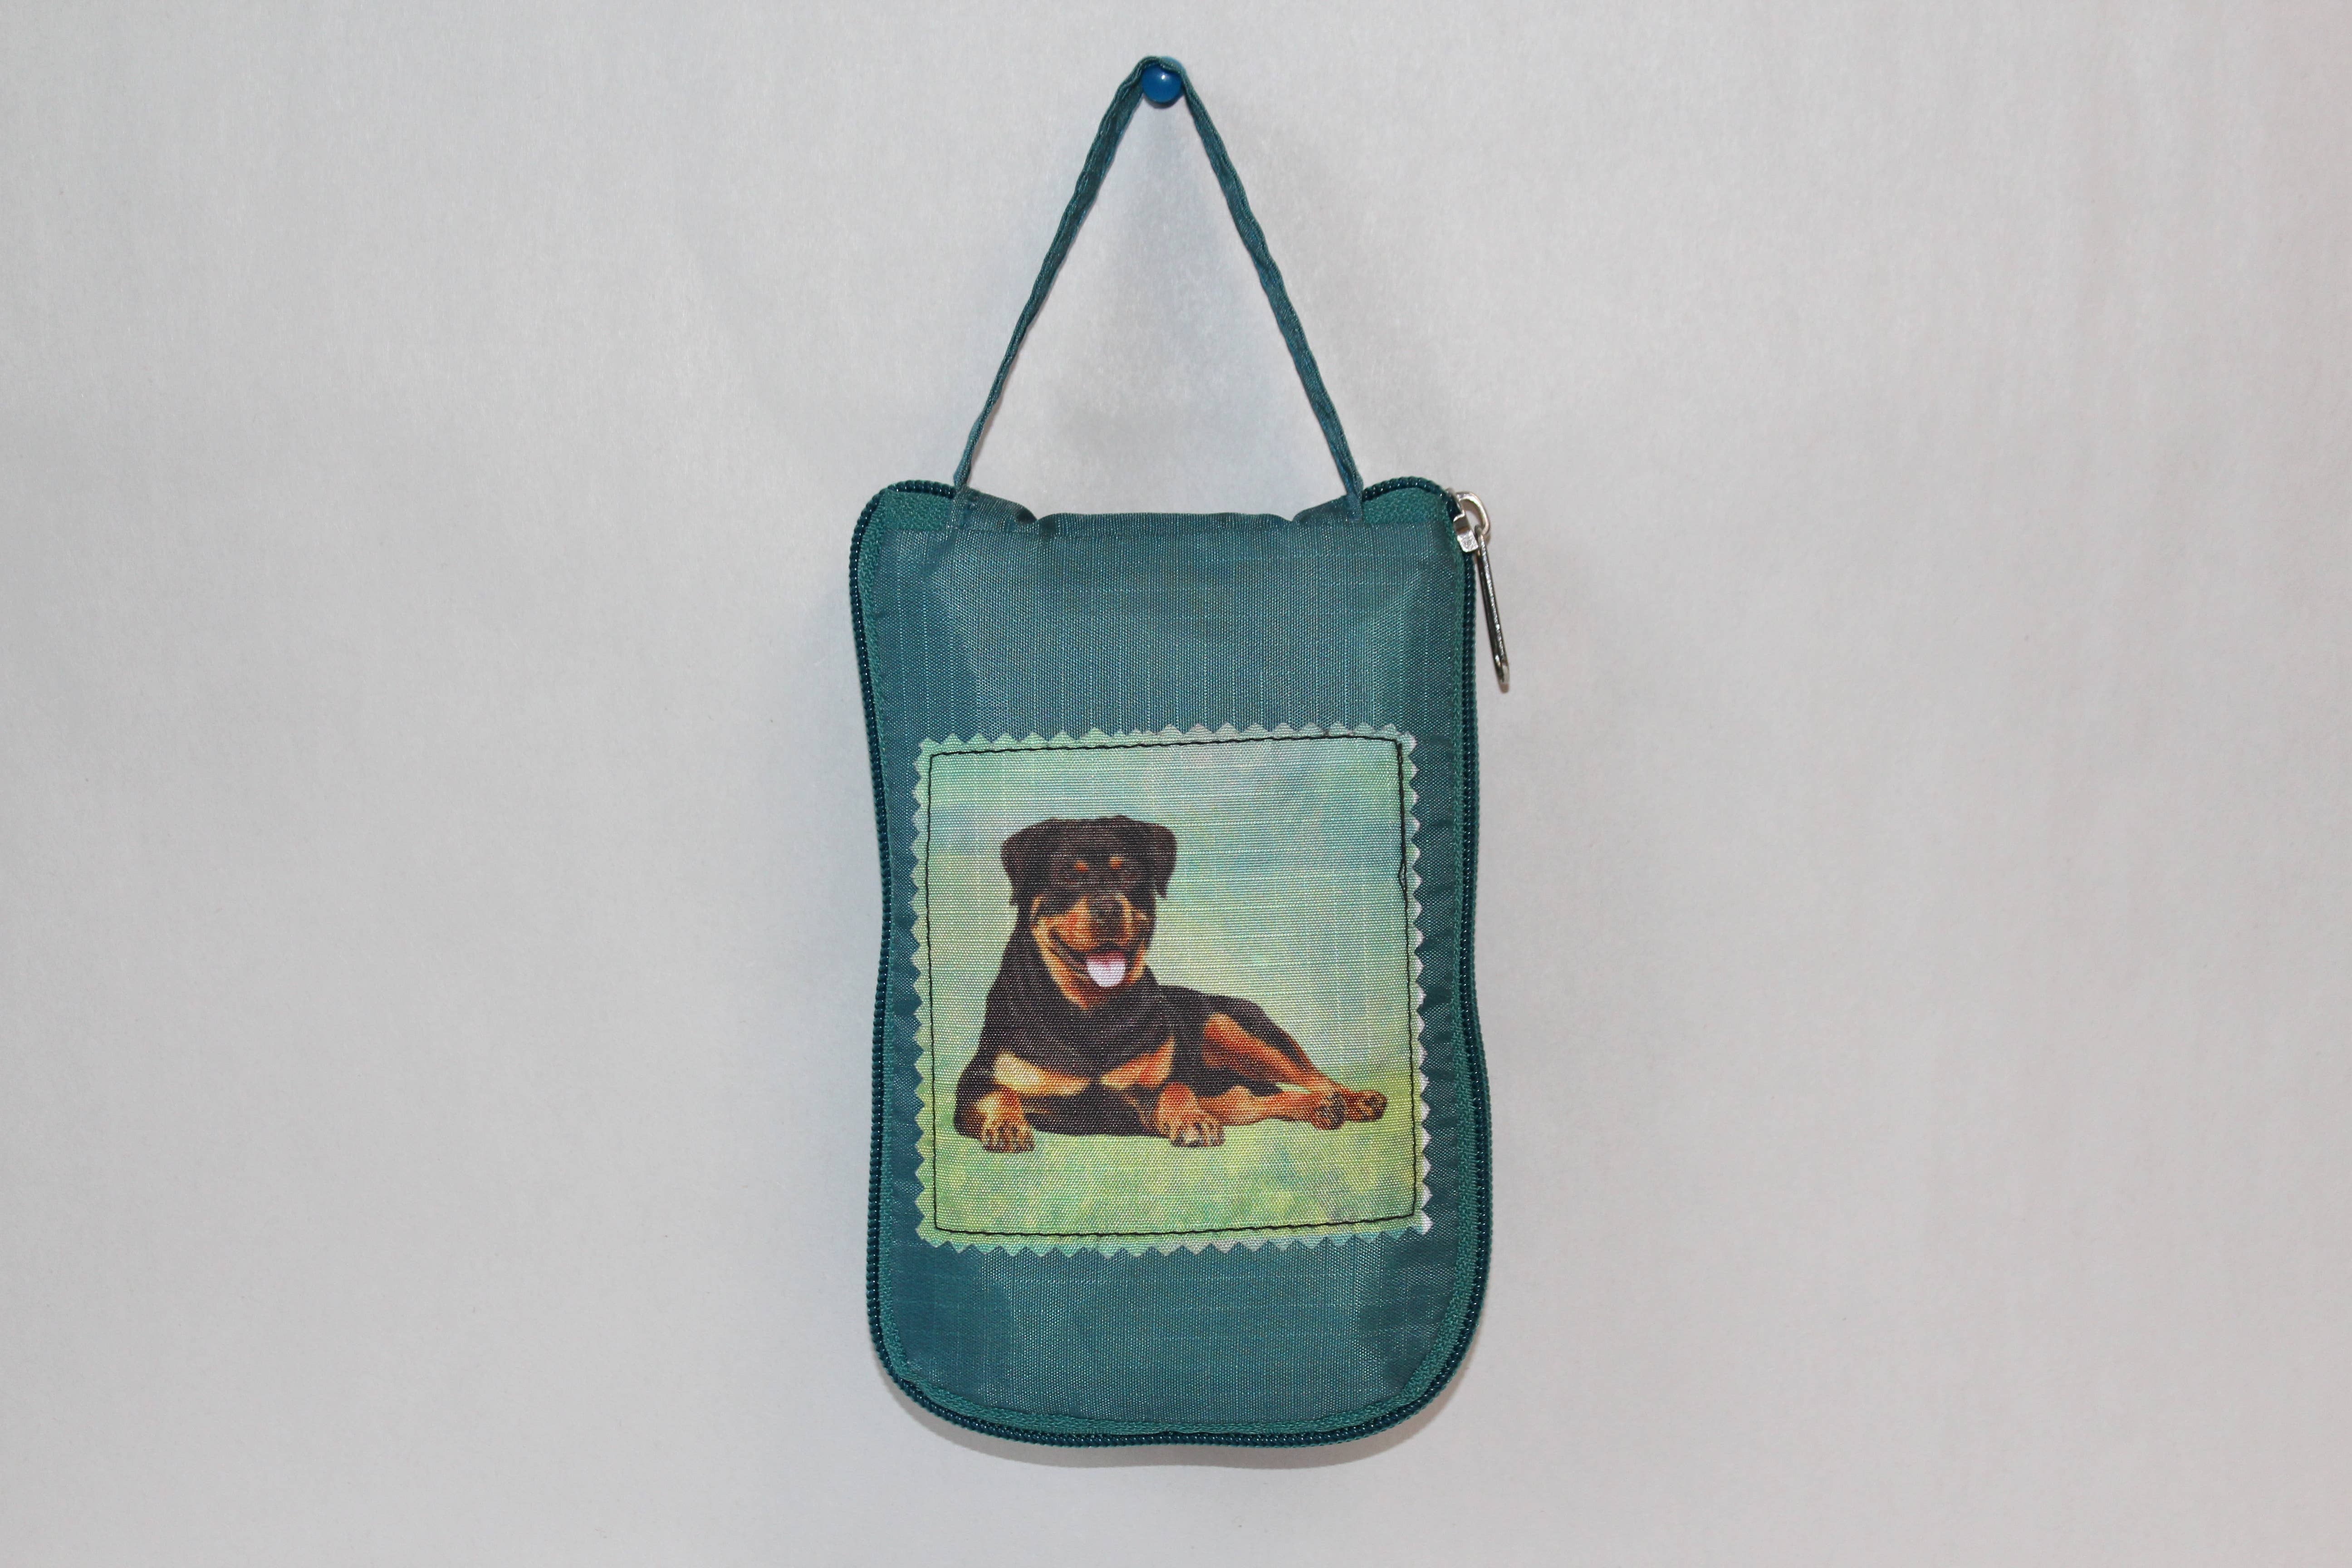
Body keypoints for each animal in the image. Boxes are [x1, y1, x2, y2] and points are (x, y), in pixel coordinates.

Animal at [952, 815, 1388, 1151]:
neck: (1092, 1013)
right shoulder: (975, 1081)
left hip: (1235, 1027)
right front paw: (1007, 1126)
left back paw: (1354, 1100)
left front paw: (1189, 1118)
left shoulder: (1153, 1086)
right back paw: (1318, 1108)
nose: (1108, 908)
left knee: (1312, 1077)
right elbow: (1001, 1091)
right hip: (1230, 1080)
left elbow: (1175, 1087)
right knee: (1253, 1100)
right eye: (1065, 877)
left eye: (1129, 873)